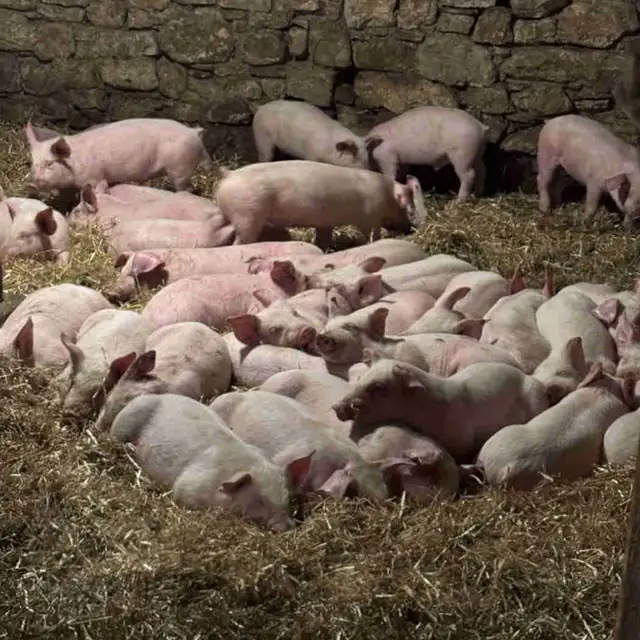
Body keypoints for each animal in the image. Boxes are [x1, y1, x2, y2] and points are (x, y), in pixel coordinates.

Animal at [25, 118, 212, 194]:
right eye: (31, 163)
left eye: (50, 163)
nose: (32, 185)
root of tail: (194, 132)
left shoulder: (96, 177)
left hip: (180, 168)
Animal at [215, 160, 428, 248]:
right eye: (409, 209)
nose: (410, 229)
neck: (387, 196)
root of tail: (229, 175)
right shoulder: (370, 218)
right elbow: (373, 236)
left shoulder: (326, 223)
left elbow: (324, 238)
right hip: (248, 215)